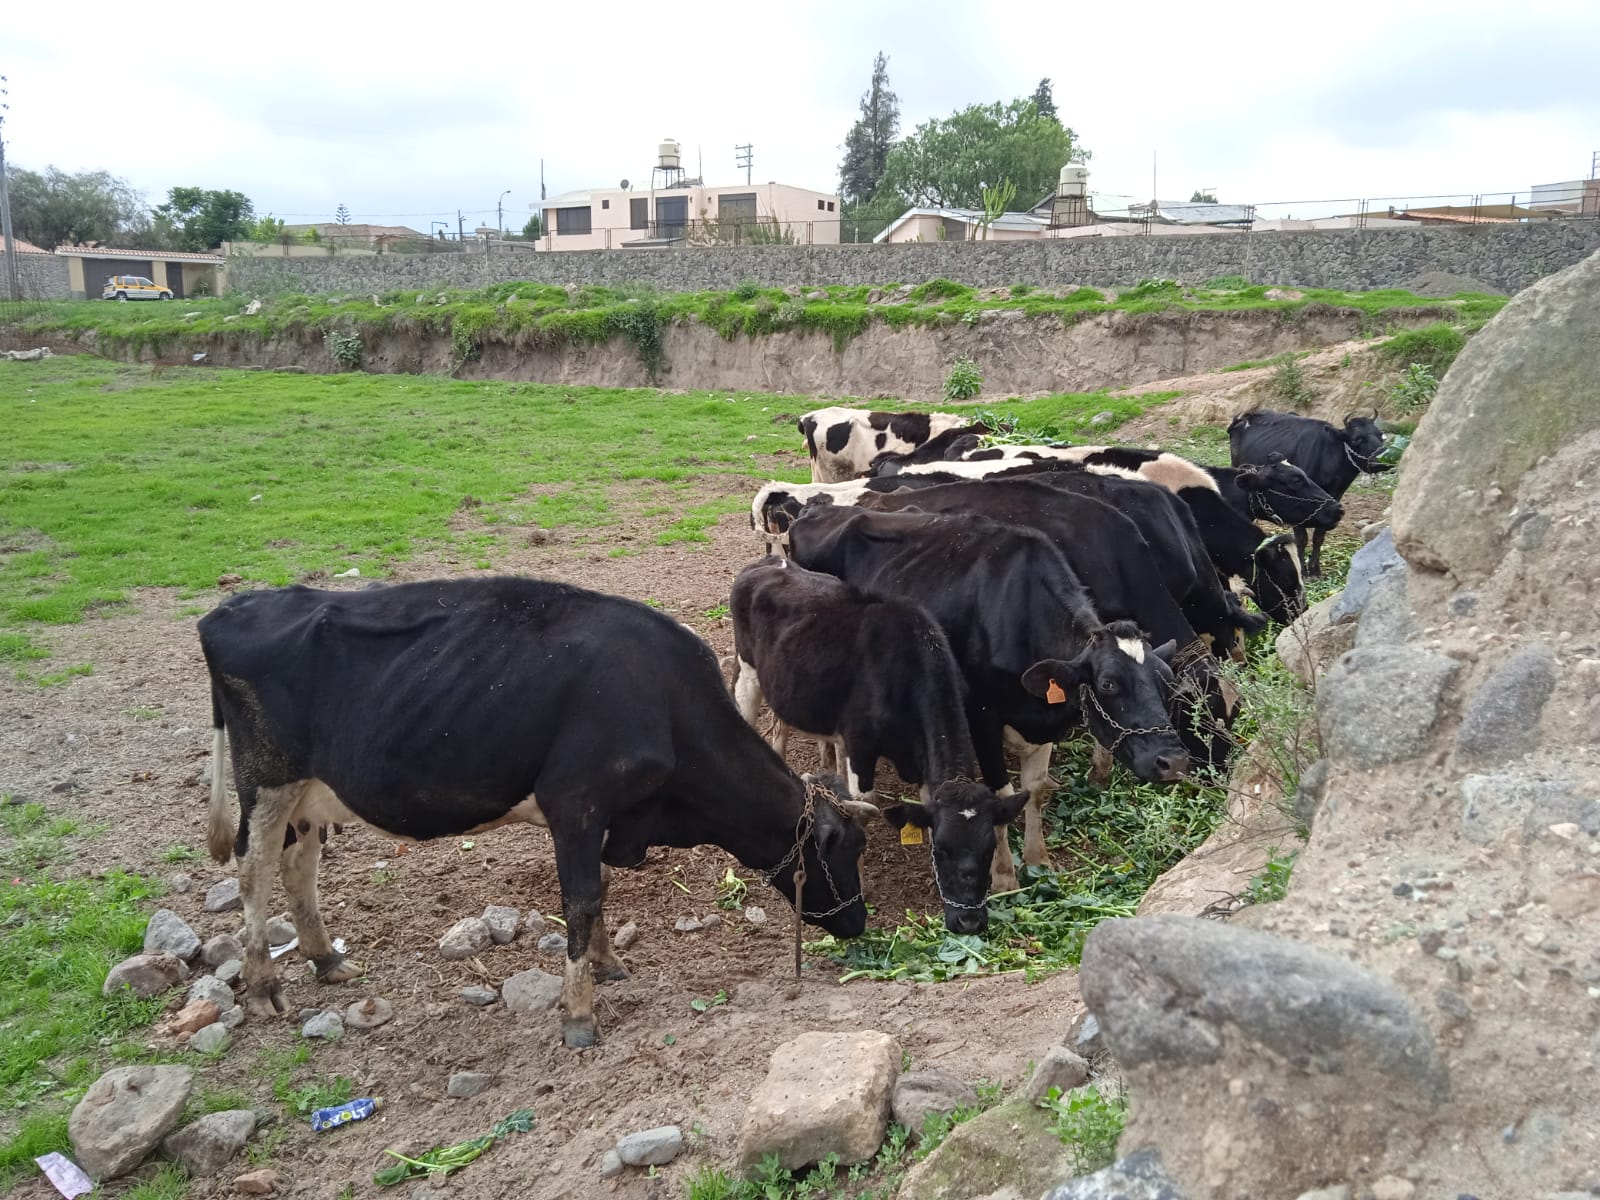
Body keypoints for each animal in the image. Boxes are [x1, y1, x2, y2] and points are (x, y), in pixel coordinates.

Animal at [203, 579, 876, 1049]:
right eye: (847, 849)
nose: (859, 923)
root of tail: (230, 609)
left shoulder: (605, 819)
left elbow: (598, 892)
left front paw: (608, 965)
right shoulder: (576, 805)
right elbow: (580, 899)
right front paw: (579, 1015)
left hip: (308, 795)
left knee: (298, 867)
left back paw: (325, 958)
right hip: (266, 779)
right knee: (253, 872)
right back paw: (263, 986)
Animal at [729, 560, 1024, 934]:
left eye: (988, 850)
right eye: (943, 850)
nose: (969, 921)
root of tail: (769, 562)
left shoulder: (920, 761)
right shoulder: (861, 746)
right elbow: (865, 806)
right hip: (747, 673)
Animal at [780, 502, 1196, 889]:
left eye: (1165, 681)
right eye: (1108, 683)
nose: (1173, 761)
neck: (1020, 614)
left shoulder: (1042, 718)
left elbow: (1034, 790)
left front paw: (1038, 859)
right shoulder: (982, 718)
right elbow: (1001, 793)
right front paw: (1003, 876)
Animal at [1228, 409, 1395, 579]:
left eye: (1380, 435)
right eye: (1357, 439)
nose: (1381, 461)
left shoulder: (1332, 501)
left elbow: (1318, 537)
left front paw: (1315, 570)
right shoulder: (1296, 508)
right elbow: (1301, 539)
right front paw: (1302, 570)